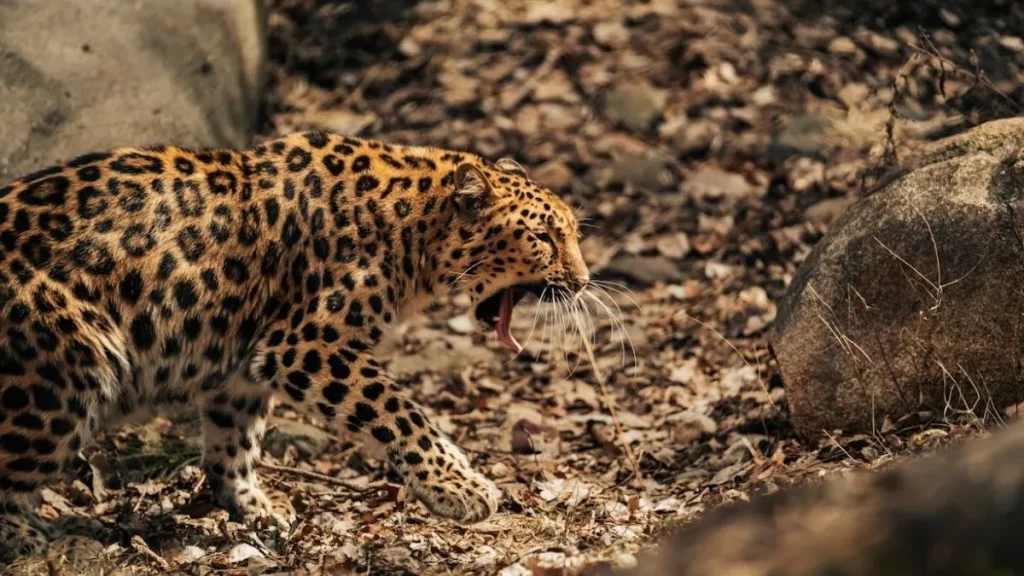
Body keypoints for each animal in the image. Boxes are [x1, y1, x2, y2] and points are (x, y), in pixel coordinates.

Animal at [0, 130, 590, 563]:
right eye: (544, 237)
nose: (584, 281)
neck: (412, 224)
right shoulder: (309, 344)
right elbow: (402, 412)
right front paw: (459, 487)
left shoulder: (245, 364)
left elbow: (236, 440)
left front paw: (252, 504)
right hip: (61, 371)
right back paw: (33, 537)